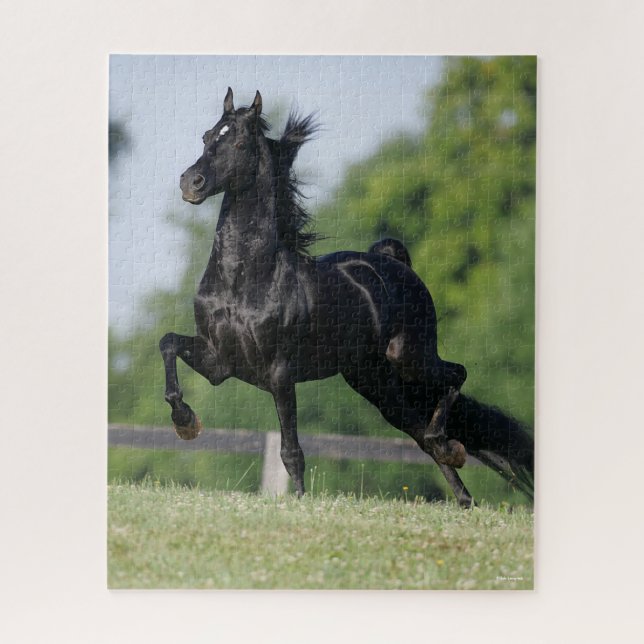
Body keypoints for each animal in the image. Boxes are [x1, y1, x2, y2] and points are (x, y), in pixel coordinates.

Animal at [160, 88, 534, 507]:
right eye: (207, 137)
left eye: (239, 143)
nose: (190, 183)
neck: (244, 281)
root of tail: (394, 264)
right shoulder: (220, 364)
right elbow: (168, 343)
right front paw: (186, 422)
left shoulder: (279, 373)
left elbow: (291, 450)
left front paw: (300, 502)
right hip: (374, 382)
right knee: (420, 434)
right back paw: (463, 495)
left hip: (410, 358)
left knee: (456, 376)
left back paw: (449, 449)